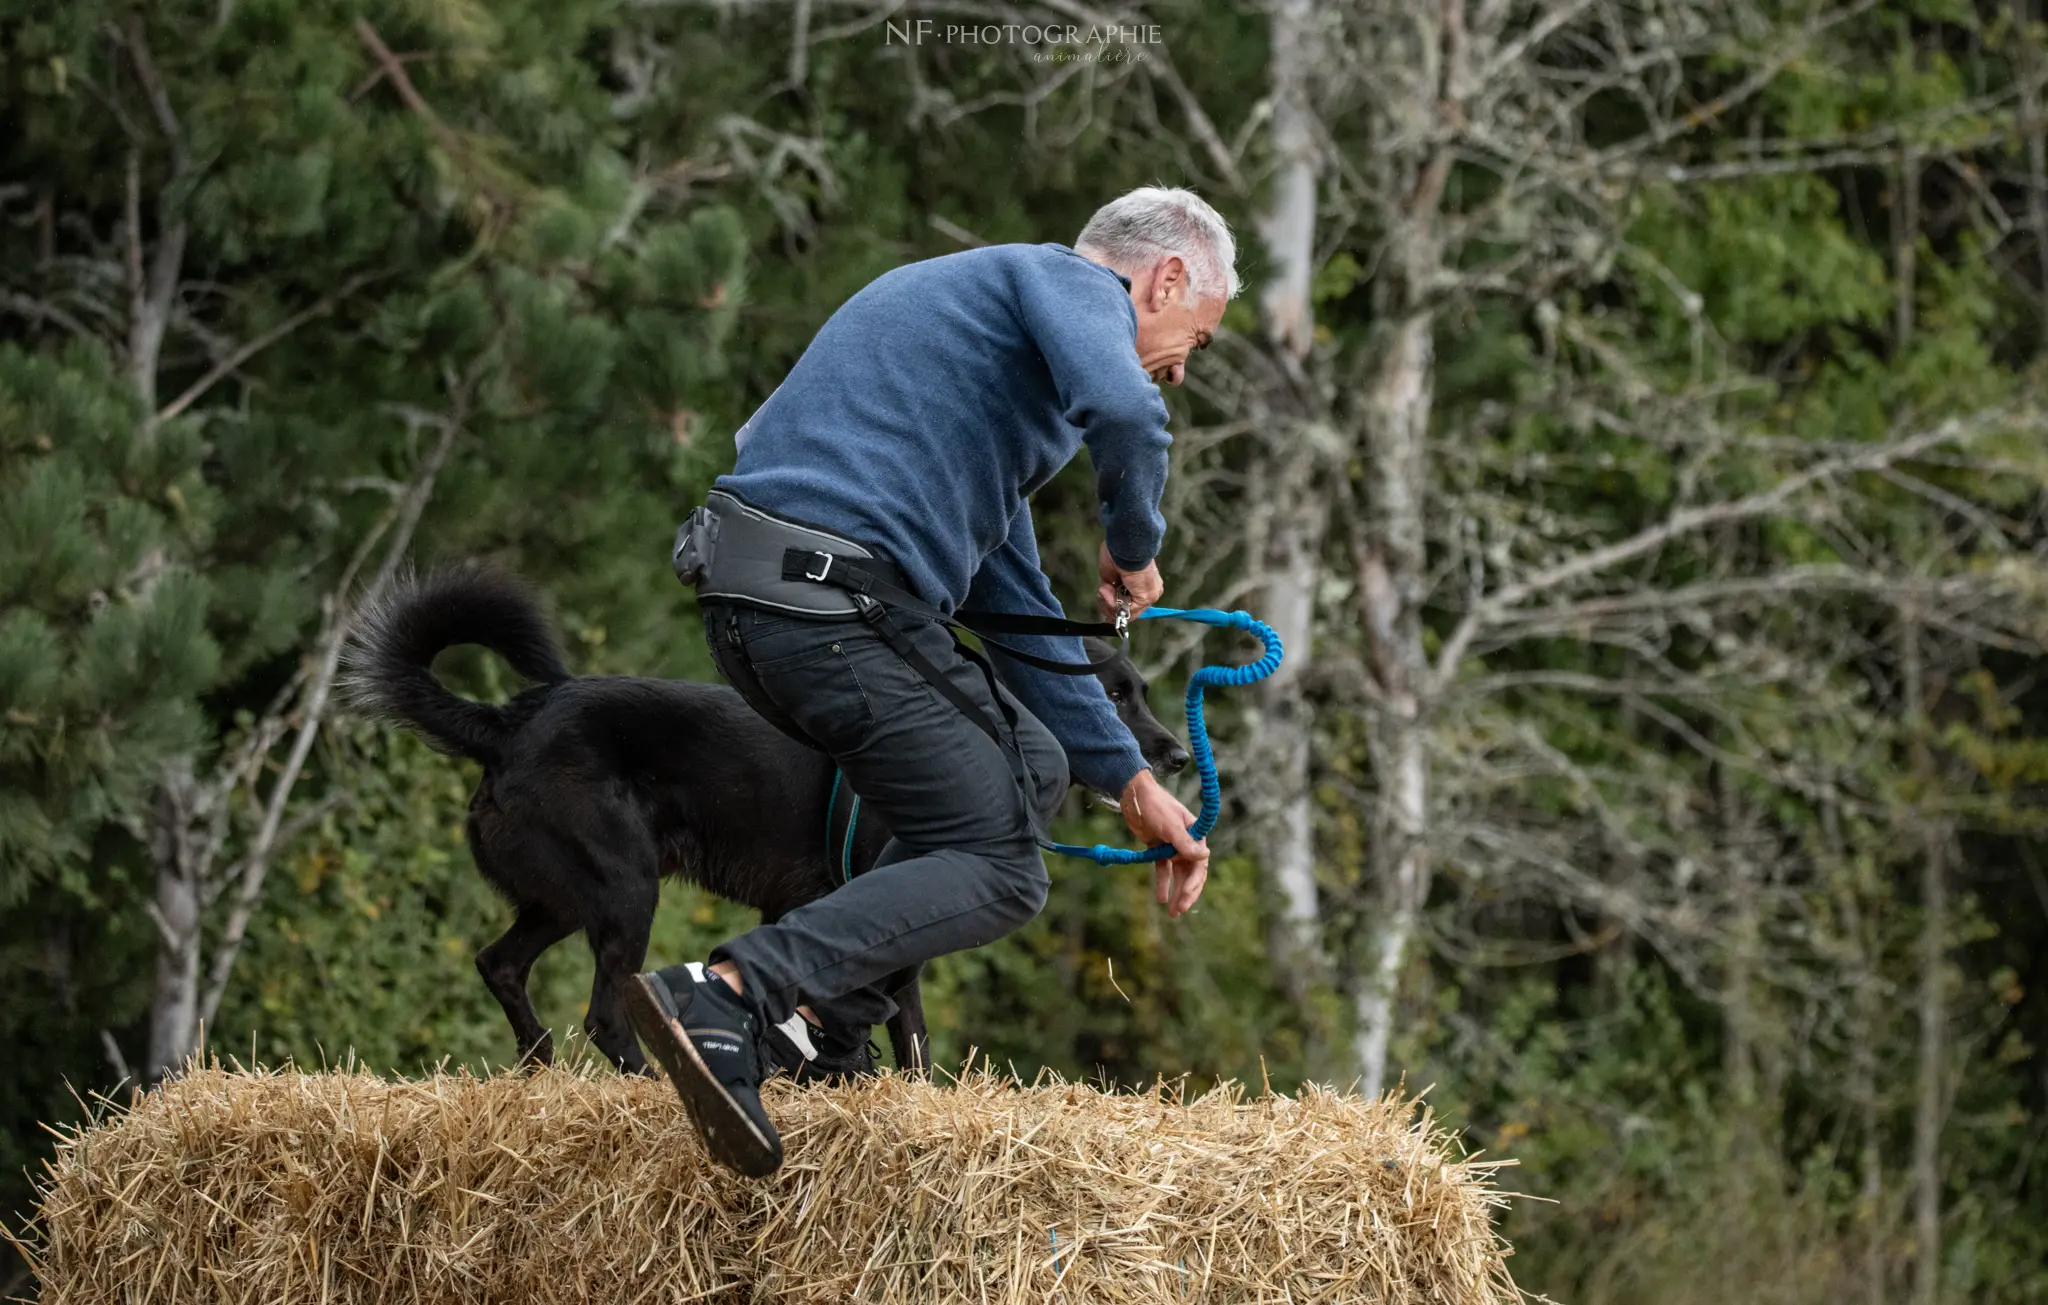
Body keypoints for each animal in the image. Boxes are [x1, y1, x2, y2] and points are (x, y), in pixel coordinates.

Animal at [346, 565, 1196, 1073]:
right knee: (605, 1015)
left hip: (564, 897)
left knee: (500, 964)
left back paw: (542, 1066)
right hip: (625, 890)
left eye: (1141, 692)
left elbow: (910, 1042)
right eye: (1114, 696)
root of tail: (505, 725)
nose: (1179, 755)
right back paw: (647, 1082)